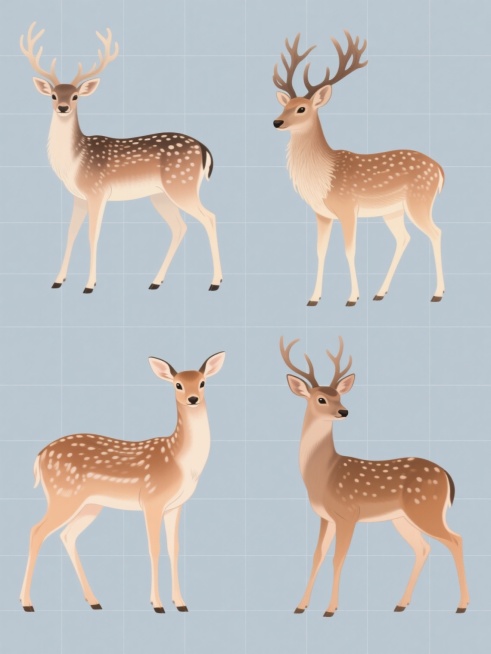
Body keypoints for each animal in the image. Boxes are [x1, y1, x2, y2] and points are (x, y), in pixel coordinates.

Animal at [19, 351, 225, 613]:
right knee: (37, 531)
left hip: (90, 505)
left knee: (67, 535)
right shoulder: (152, 500)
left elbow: (174, 549)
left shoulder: (175, 506)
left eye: (202, 382)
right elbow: (154, 548)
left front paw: (180, 603)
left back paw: (94, 601)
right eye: (178, 384)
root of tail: (39, 457)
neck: (181, 463)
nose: (192, 398)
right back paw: (27, 603)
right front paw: (157, 604)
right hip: (63, 495)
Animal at [20, 23, 223, 294]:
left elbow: (92, 234)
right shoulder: (78, 197)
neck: (74, 162)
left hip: (182, 184)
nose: (63, 107)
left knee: (209, 217)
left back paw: (215, 282)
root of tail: (203, 149)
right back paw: (156, 281)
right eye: (53, 95)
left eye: (75, 96)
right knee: (180, 227)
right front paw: (58, 280)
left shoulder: (97, 191)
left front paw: (90, 285)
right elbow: (71, 232)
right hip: (161, 195)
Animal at [273, 33, 445, 307]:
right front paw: (314, 298)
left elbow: (349, 250)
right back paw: (380, 292)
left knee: (435, 233)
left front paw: (352, 298)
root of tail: (439, 170)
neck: (322, 176)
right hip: (393, 211)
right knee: (404, 238)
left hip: (420, 200)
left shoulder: (347, 207)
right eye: (285, 104)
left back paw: (437, 293)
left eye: (301, 108)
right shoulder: (321, 213)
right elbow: (320, 251)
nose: (277, 121)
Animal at [280, 336, 469, 616]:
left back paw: (462, 605)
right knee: (424, 547)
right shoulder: (325, 517)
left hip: (426, 509)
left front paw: (330, 609)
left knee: (455, 539)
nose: (344, 412)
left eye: (340, 395)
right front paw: (300, 606)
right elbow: (317, 556)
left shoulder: (348, 514)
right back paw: (401, 603)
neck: (324, 474)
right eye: (322, 399)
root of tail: (446, 475)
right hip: (403, 518)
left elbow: (338, 558)